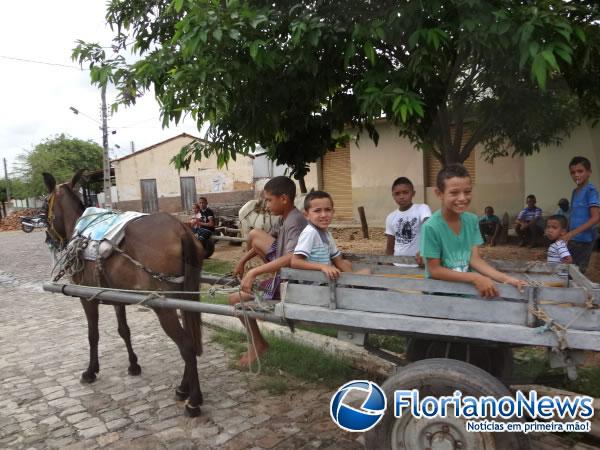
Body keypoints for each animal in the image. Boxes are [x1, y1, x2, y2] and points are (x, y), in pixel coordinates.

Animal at [42, 171, 206, 416]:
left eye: (45, 205)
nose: (48, 236)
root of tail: (180, 228)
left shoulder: (87, 298)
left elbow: (92, 335)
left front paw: (91, 371)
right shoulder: (116, 296)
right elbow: (124, 330)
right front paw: (133, 365)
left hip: (163, 307)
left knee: (186, 345)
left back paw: (194, 400)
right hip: (183, 299)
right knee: (190, 341)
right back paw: (184, 388)